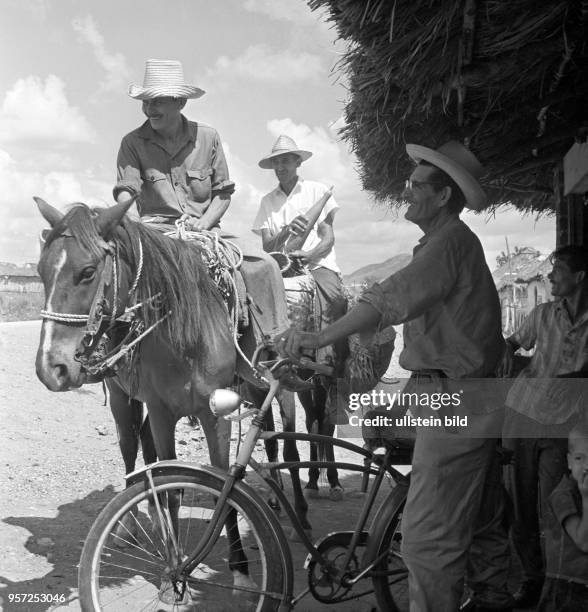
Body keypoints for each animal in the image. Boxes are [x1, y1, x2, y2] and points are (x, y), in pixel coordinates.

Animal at [33, 196, 312, 588]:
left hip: (273, 384)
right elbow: (170, 486)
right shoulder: (161, 412)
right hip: (124, 399)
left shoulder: (216, 415)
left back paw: (297, 513)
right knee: (132, 449)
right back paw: (134, 525)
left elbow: (224, 487)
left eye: (87, 272)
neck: (184, 333)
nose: (50, 368)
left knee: (285, 444)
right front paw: (174, 561)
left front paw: (239, 567)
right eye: (41, 271)